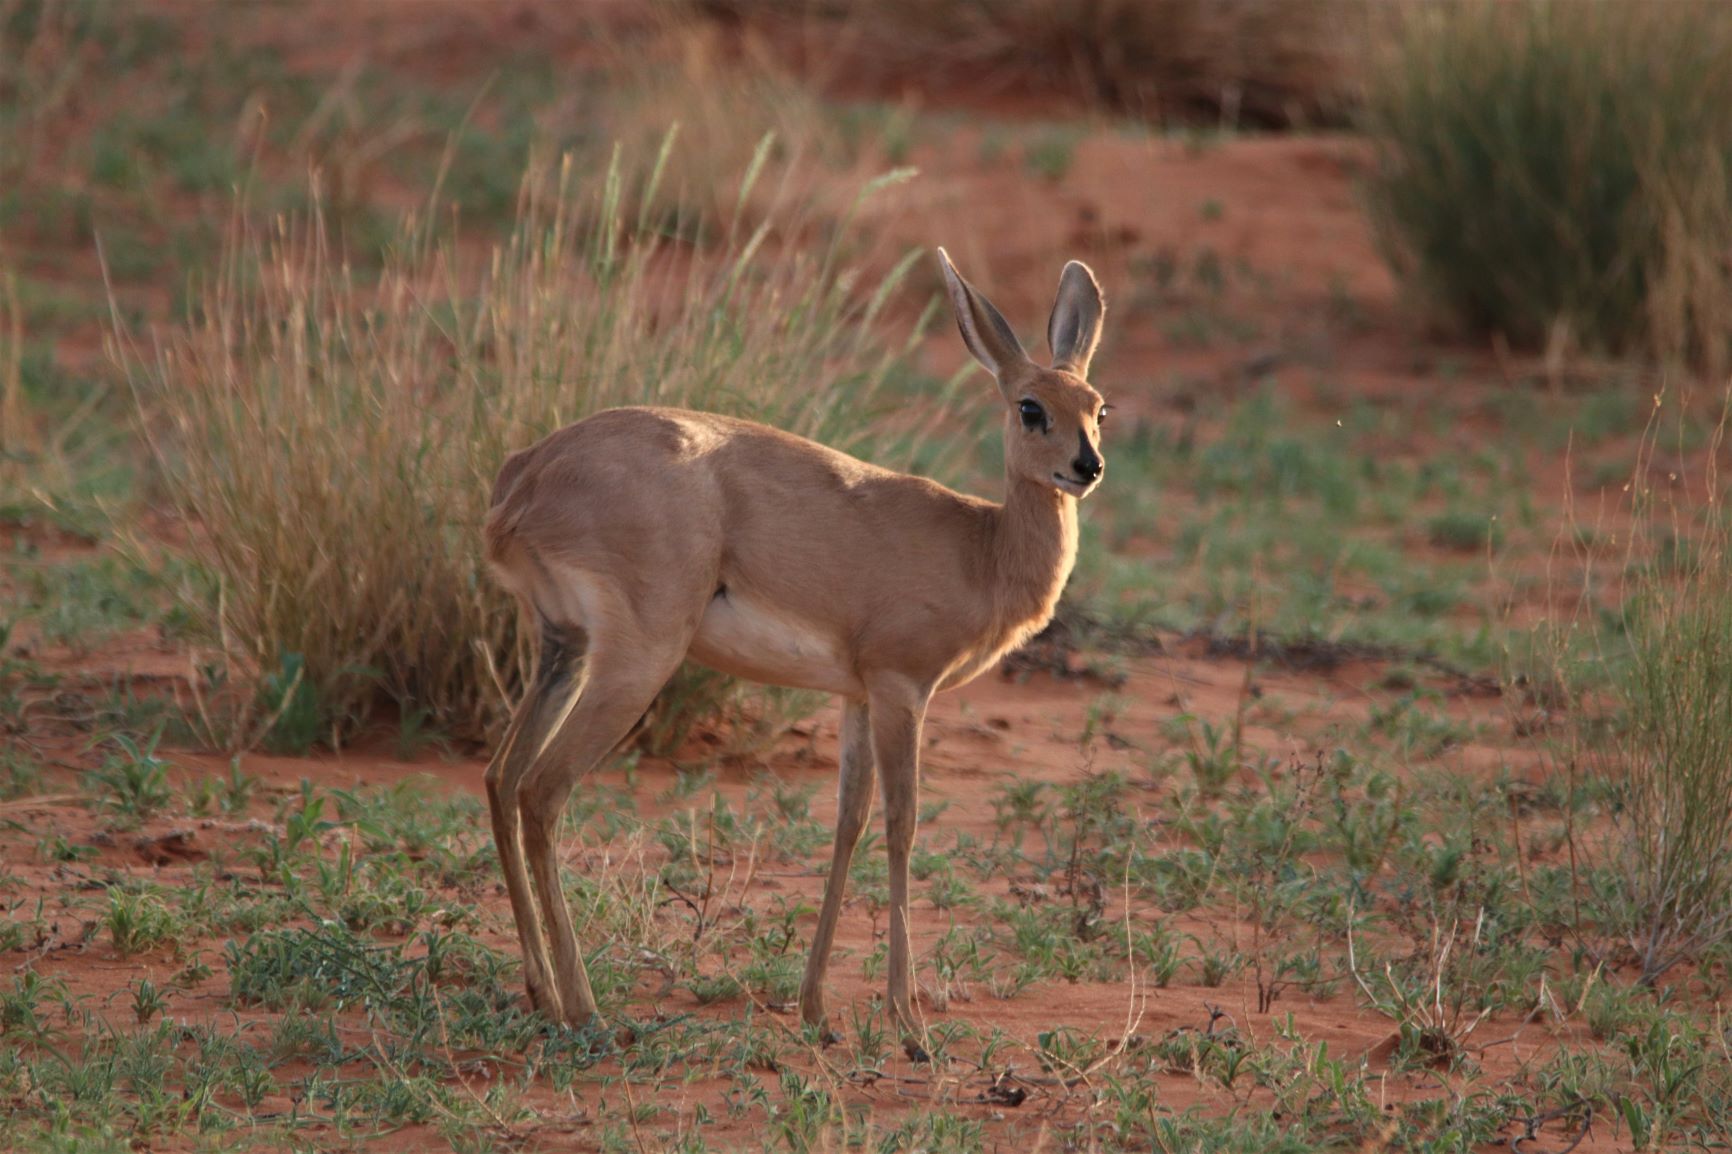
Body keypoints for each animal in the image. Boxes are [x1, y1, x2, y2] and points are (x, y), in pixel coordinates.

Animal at [484, 247, 1108, 1039]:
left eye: (1098, 407)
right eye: (1031, 408)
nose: (1086, 468)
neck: (981, 549)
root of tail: (527, 474)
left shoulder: (855, 697)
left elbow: (848, 823)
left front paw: (815, 1008)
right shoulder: (903, 689)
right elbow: (902, 826)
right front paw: (909, 1023)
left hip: (563, 649)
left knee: (500, 778)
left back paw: (540, 991)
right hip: (637, 662)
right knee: (543, 789)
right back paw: (585, 1008)